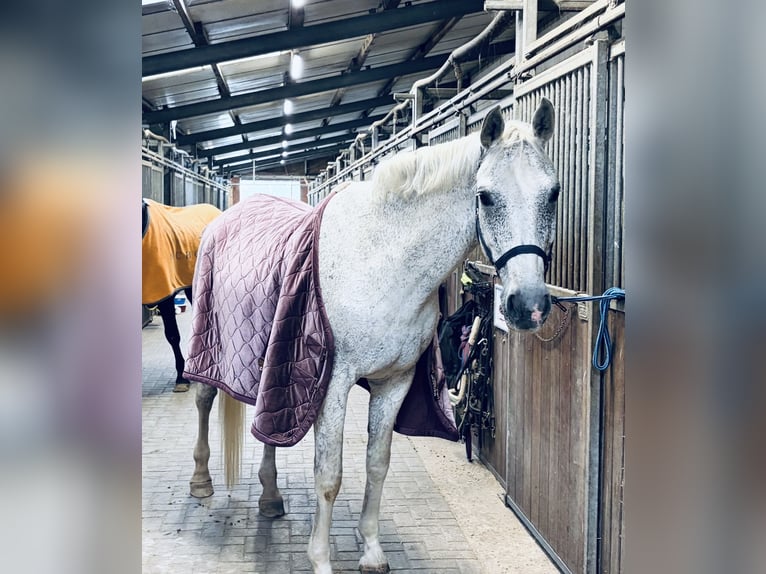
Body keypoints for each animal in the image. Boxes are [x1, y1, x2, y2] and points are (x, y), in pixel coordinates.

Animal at [185, 99, 559, 574]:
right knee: (202, 399)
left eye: (554, 193)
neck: (384, 262)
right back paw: (201, 482)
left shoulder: (394, 382)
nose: (528, 305)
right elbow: (329, 476)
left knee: (267, 425)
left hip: (271, 363)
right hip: (211, 345)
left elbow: (377, 464)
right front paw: (321, 560)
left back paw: (270, 497)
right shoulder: (330, 382)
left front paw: (373, 550)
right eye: (486, 196)